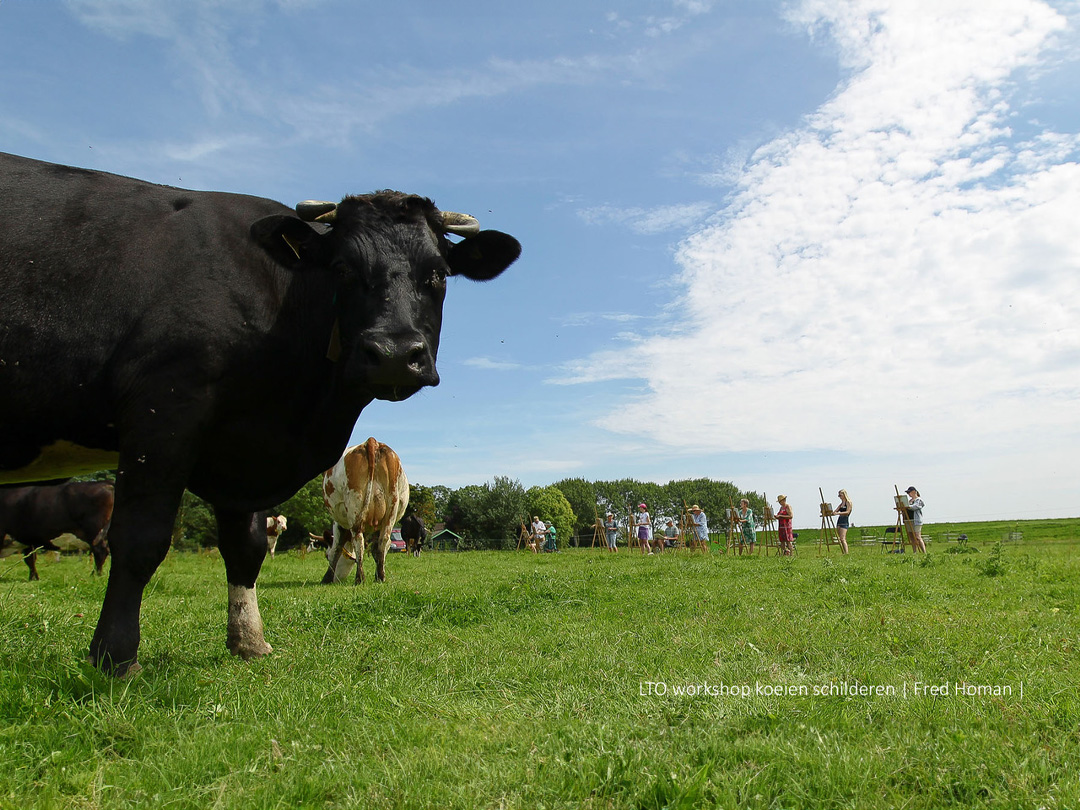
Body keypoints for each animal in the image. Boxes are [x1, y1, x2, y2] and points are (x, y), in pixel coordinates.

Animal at [319, 440, 408, 587]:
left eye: (326, 556)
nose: (337, 580)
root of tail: (371, 441)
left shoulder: (338, 523)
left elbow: (337, 548)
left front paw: (326, 578)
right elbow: (377, 549)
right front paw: (377, 574)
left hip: (354, 506)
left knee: (358, 541)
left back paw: (359, 578)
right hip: (391, 507)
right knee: (384, 539)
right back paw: (381, 577)